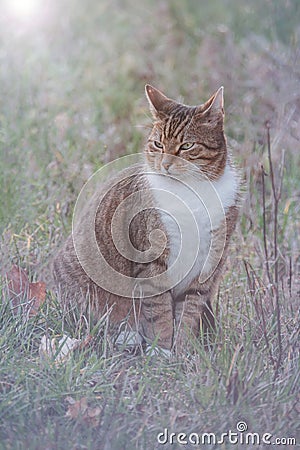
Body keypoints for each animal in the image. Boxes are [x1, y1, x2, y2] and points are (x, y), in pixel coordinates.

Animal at [52, 83, 240, 352]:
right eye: (158, 144)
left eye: (186, 146)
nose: (166, 164)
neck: (191, 192)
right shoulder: (152, 261)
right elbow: (159, 310)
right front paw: (161, 349)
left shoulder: (209, 263)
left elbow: (189, 310)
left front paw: (183, 350)